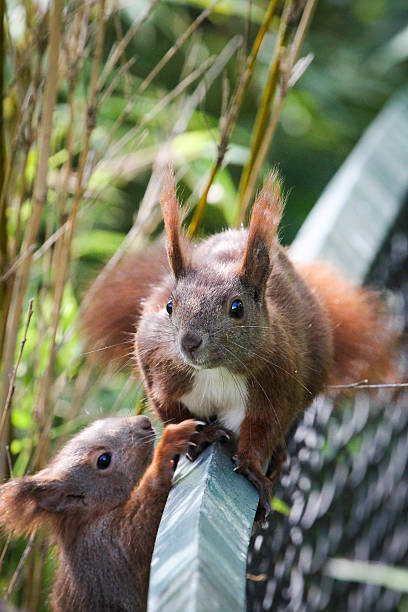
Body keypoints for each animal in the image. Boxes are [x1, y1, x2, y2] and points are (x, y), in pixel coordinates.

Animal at [81, 170, 394, 520]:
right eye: (170, 306)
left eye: (237, 307)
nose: (189, 342)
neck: (215, 371)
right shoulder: (158, 371)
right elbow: (171, 414)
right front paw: (199, 436)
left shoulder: (275, 385)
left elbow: (262, 431)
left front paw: (254, 470)